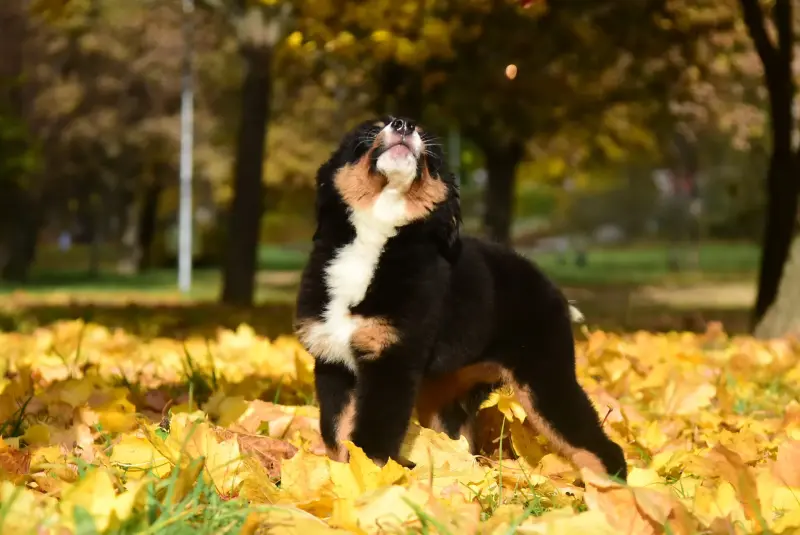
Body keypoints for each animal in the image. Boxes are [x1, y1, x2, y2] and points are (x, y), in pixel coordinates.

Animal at [296, 116, 628, 482]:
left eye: (427, 143)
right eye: (371, 129)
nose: (403, 124)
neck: (376, 237)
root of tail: (551, 287)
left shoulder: (392, 363)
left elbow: (371, 442)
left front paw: (371, 484)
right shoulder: (334, 363)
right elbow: (336, 434)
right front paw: (341, 478)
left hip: (545, 377)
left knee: (599, 446)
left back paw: (608, 489)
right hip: (447, 394)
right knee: (459, 445)